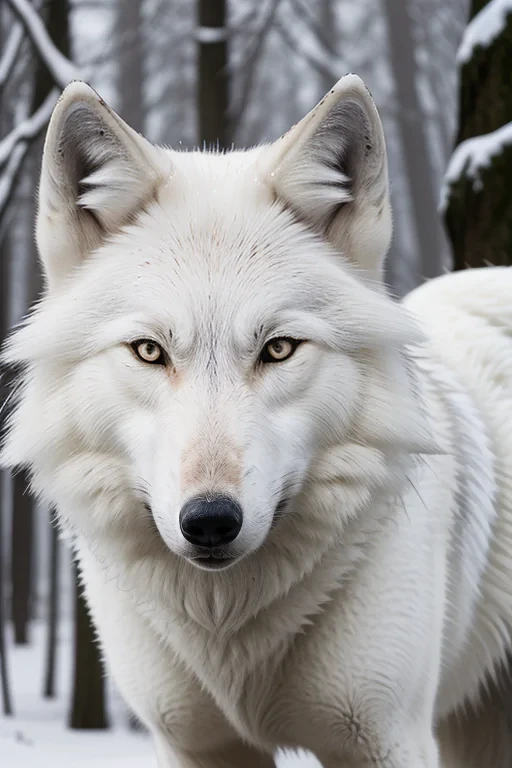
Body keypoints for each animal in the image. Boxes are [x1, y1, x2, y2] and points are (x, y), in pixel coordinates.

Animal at [2, 74, 512, 767]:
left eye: (278, 349)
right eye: (149, 351)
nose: (210, 522)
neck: (228, 631)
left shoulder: (387, 738)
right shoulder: (194, 744)